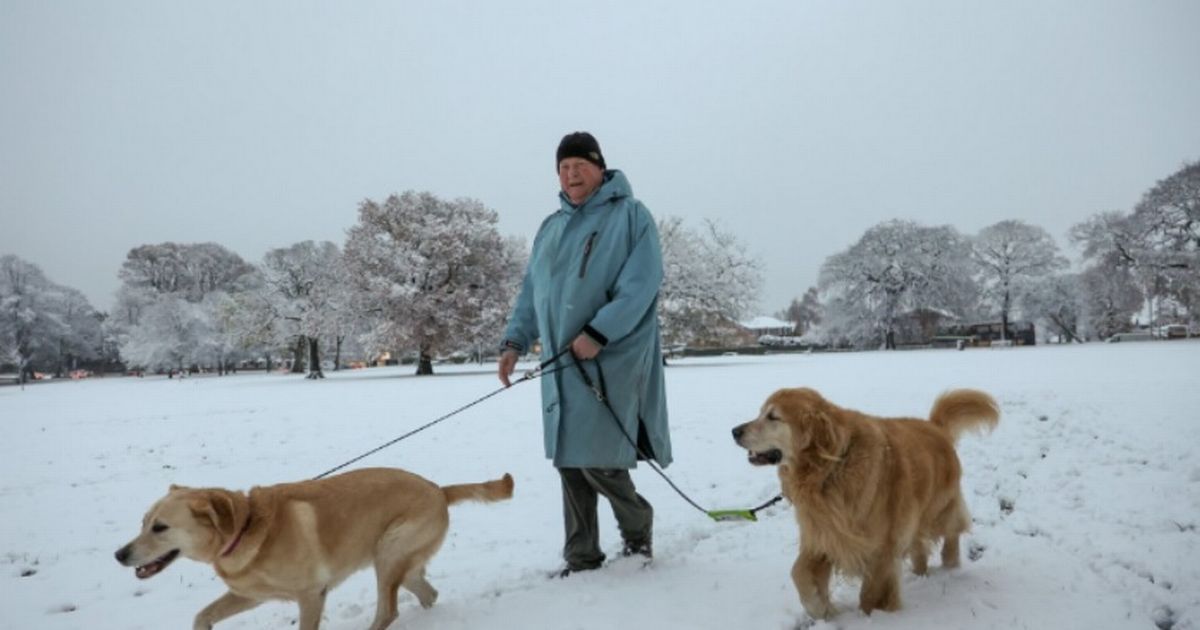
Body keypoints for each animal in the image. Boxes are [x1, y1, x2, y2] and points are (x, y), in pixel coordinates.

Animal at [115, 463, 516, 624]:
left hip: (389, 554)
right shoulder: (249, 594)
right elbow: (203, 616)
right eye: (143, 523)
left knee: (388, 611)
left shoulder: (311, 595)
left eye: (160, 527)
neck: (244, 528)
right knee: (427, 592)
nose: (119, 554)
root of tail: (438, 489)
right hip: (396, 561)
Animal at [729, 386, 1003, 614]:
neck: (830, 468)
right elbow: (799, 573)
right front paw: (821, 608)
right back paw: (920, 572)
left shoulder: (880, 547)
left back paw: (950, 565)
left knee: (952, 531)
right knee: (919, 546)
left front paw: (871, 615)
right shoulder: (825, 534)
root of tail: (935, 425)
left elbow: (869, 594)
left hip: (939, 508)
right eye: (761, 413)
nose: (734, 431)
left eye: (773, 417)